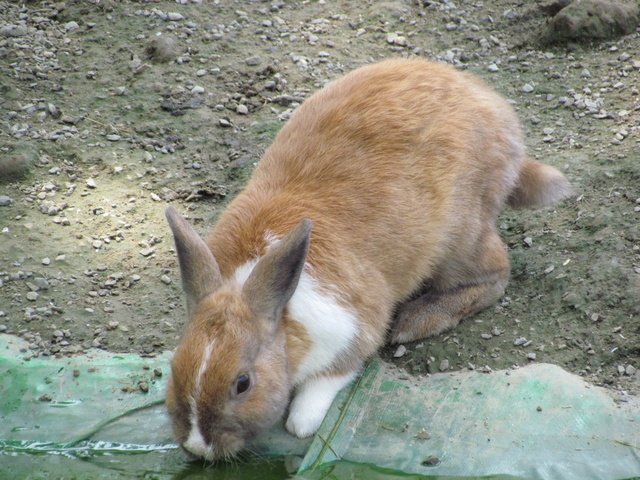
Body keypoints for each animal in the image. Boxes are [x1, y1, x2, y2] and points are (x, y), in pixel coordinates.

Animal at [164, 57, 568, 462]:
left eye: (243, 383)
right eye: (174, 365)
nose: (198, 446)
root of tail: (497, 114)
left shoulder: (355, 327)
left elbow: (333, 376)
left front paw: (302, 420)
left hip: (461, 237)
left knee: (494, 274)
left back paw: (419, 319)